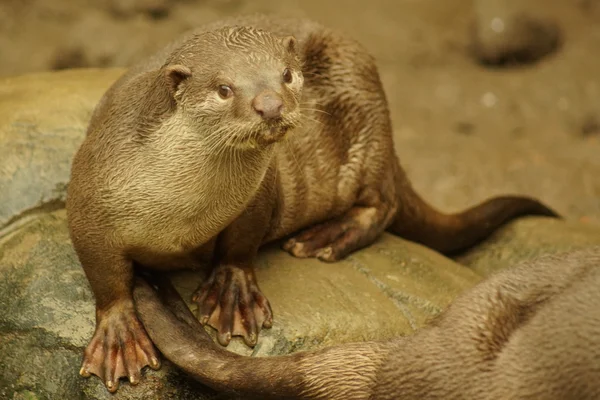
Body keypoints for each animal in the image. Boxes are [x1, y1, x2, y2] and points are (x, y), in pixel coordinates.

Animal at [68, 14, 560, 390]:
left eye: (286, 74)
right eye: (224, 89)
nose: (270, 104)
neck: (182, 211)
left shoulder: (259, 194)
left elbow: (240, 244)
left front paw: (232, 294)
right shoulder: (89, 201)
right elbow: (105, 274)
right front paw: (118, 336)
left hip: (367, 118)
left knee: (383, 204)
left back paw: (328, 235)